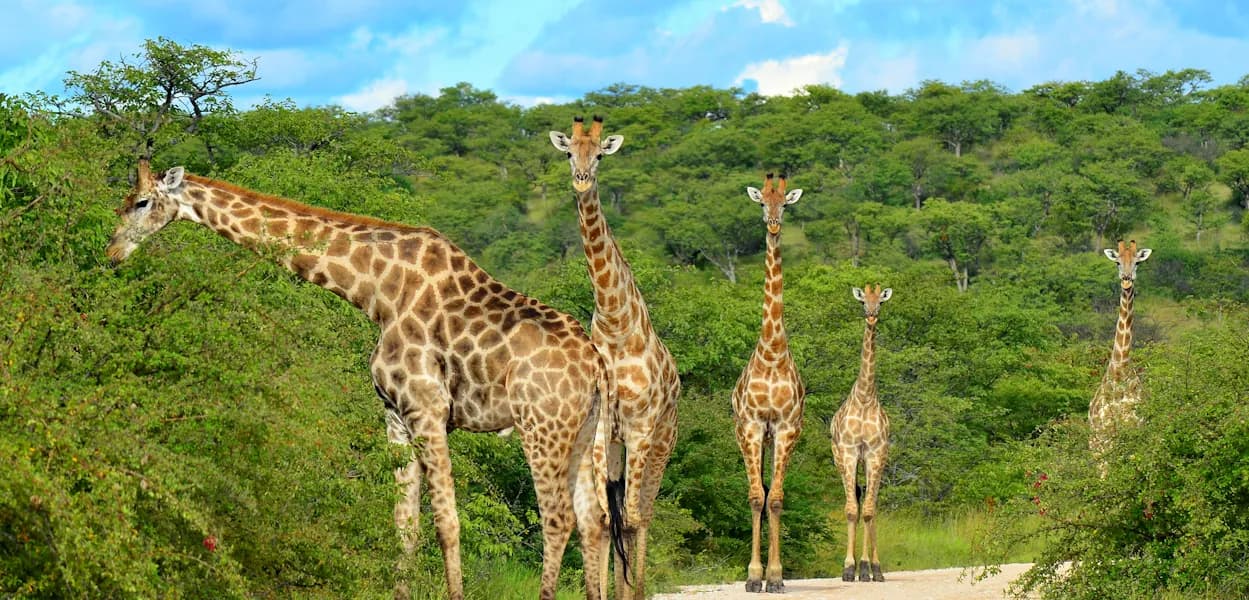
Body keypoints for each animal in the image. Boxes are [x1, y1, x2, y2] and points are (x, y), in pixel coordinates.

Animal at [105, 160, 615, 600]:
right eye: (125, 201)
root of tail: (596, 365)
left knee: (557, 517)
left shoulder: (427, 409)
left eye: (141, 202)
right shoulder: (395, 415)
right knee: (593, 519)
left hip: (540, 426)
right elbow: (405, 525)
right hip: (581, 432)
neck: (378, 294)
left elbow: (447, 522)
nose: (111, 252)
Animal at [549, 116, 681, 600]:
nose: (582, 179)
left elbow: (634, 518)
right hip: (618, 445)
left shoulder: (641, 427)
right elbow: (606, 518)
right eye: (570, 152)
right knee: (619, 513)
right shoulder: (604, 429)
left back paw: (636, 587)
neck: (617, 322)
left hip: (663, 441)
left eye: (601, 155)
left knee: (645, 512)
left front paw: (632, 590)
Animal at [1089, 239, 1152, 465]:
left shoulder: (1134, 432)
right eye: (1117, 262)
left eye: (1137, 262)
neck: (1119, 372)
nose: (1126, 280)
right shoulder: (1102, 440)